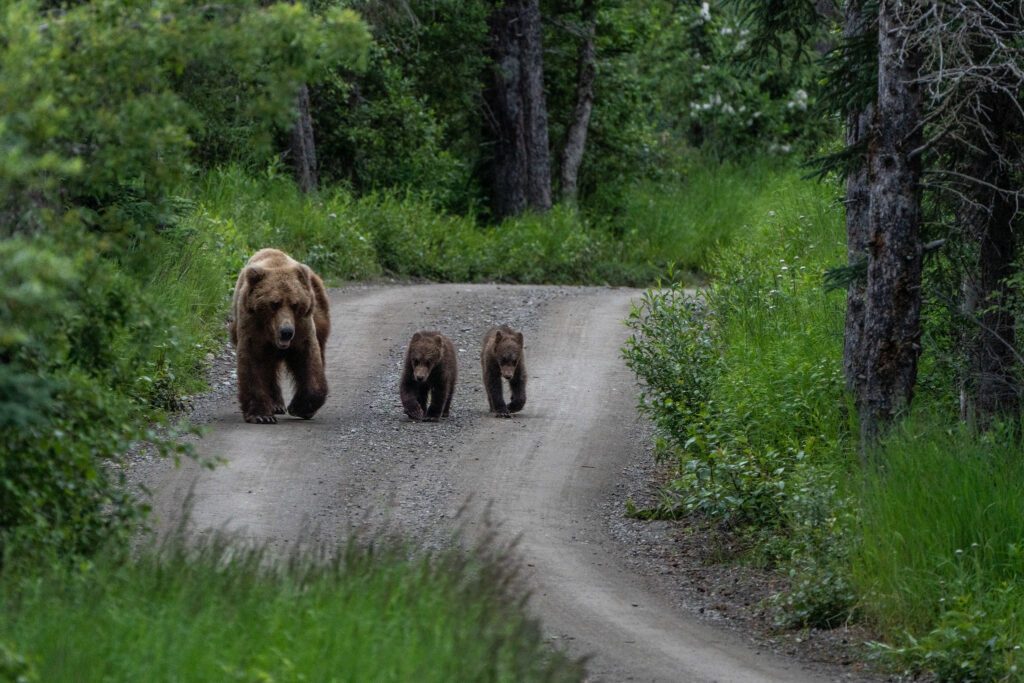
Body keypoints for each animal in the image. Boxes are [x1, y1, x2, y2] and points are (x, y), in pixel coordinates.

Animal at [229, 248, 330, 424]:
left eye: (295, 304)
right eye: (274, 304)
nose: (286, 331)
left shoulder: (303, 328)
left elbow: (309, 360)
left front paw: (301, 407)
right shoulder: (251, 328)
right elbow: (251, 363)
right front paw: (262, 415)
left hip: (320, 313)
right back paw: (276, 405)